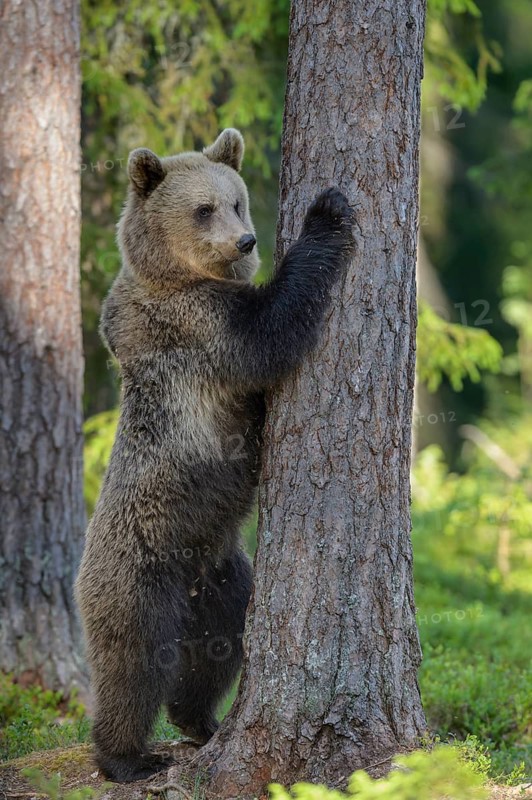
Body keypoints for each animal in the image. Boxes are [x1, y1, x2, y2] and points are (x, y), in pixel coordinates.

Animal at [75, 128, 354, 783]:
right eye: (203, 208)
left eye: (236, 201)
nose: (246, 239)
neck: (178, 277)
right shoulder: (196, 327)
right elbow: (272, 330)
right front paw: (328, 213)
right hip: (140, 569)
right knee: (134, 663)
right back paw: (127, 757)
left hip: (225, 573)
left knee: (219, 648)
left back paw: (200, 722)